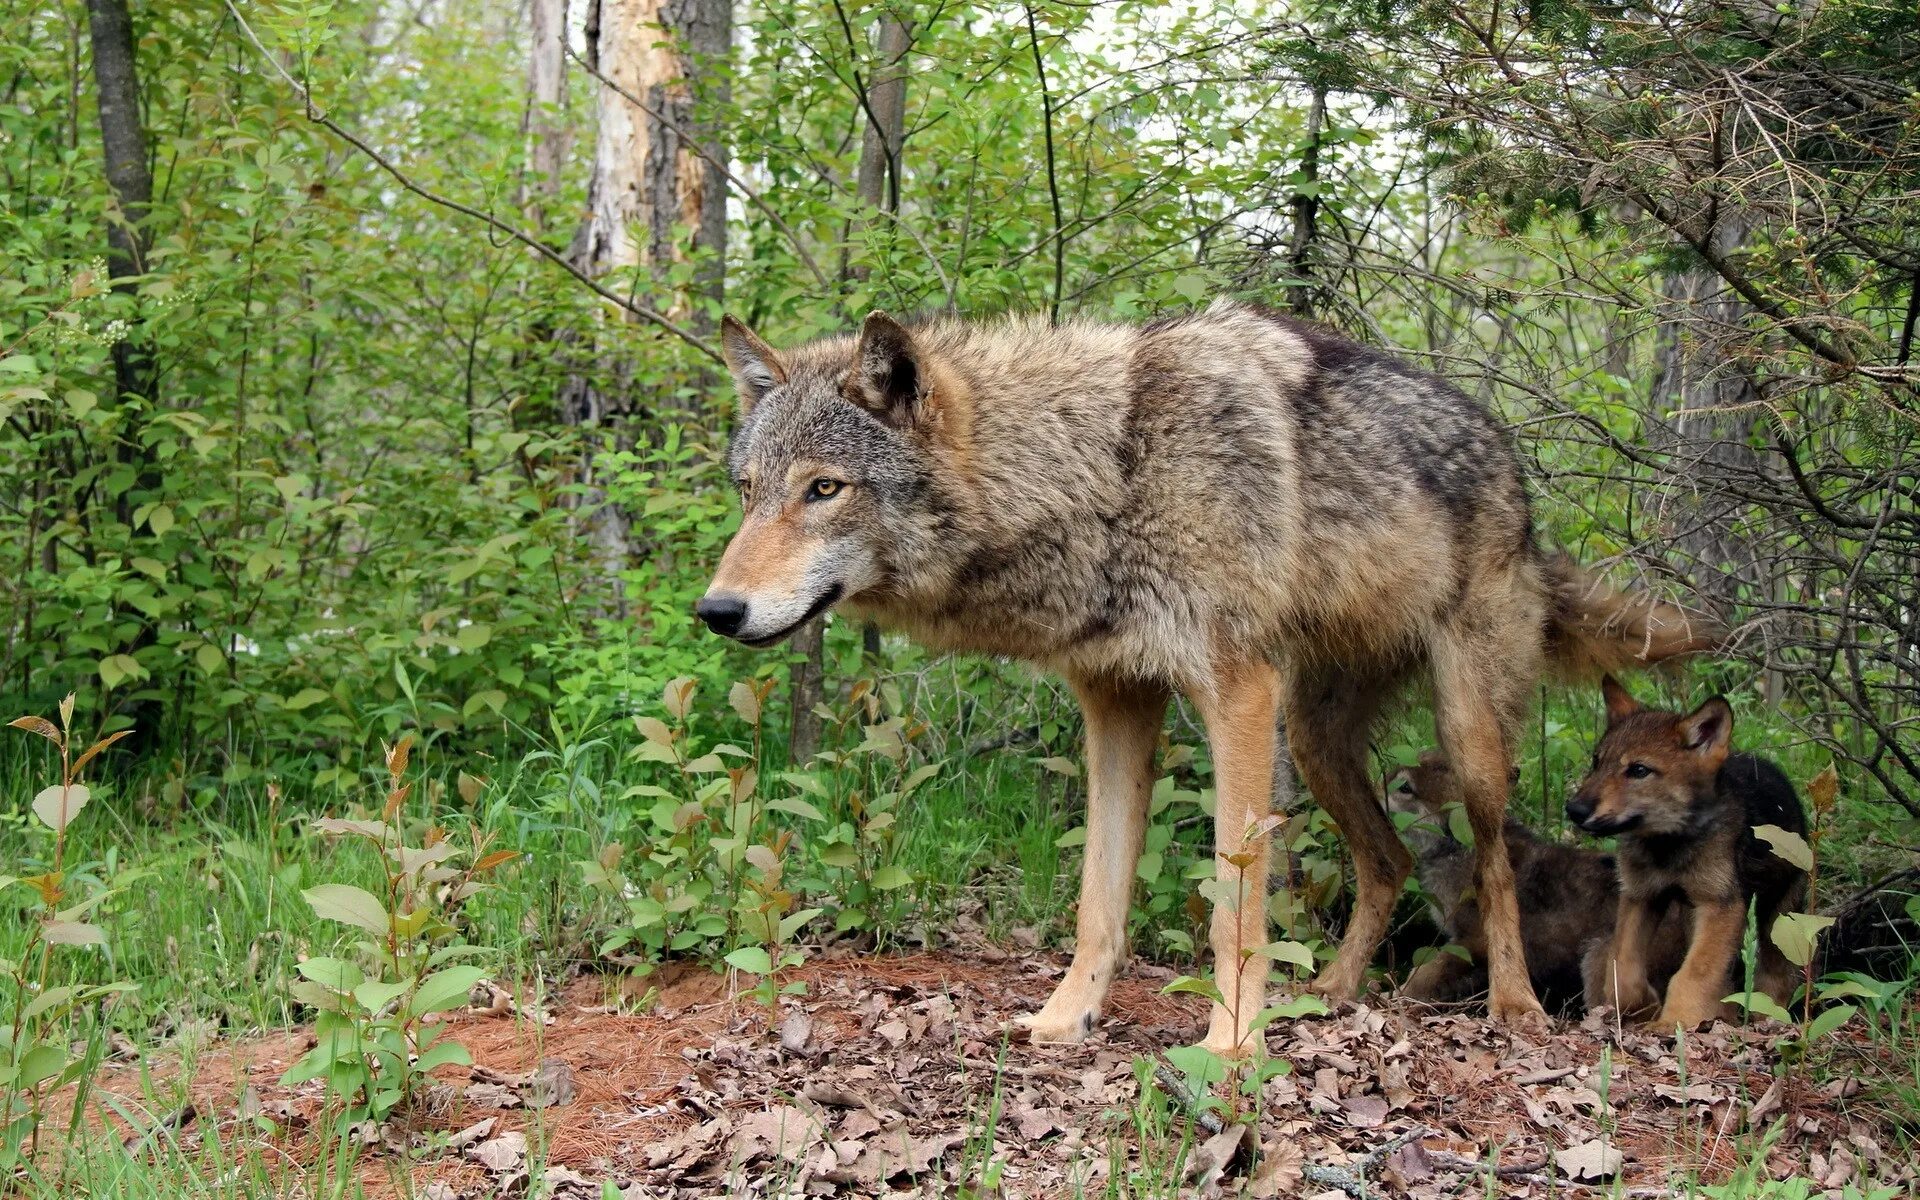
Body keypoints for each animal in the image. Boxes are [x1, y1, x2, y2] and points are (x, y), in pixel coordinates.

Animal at [695, 303, 1712, 1052]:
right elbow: (1099, 902)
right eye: (747, 491)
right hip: (1317, 740)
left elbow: (1237, 908)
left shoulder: (1237, 694)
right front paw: (1066, 1019)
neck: (1109, 468)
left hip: (1462, 741)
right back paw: (1333, 993)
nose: (717, 611)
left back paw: (1513, 1008)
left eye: (824, 489)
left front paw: (1232, 1045)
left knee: (1497, 861)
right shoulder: (1116, 703)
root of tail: (1516, 473)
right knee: (1385, 862)